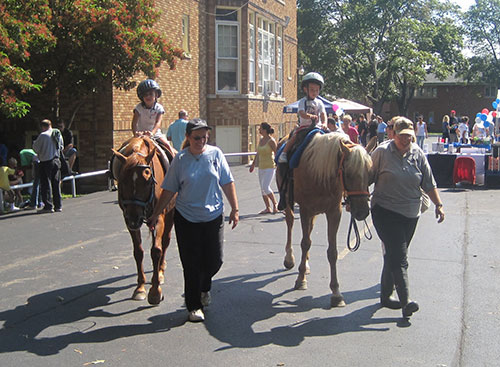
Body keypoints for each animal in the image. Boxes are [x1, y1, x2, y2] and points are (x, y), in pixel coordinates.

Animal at [112, 137, 176, 306]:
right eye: (122, 180)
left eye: (148, 181)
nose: (135, 217)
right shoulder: (128, 220)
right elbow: (138, 252)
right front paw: (140, 288)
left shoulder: (159, 217)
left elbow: (156, 250)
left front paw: (155, 291)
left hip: (170, 215)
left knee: (165, 242)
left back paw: (160, 271)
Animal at [276, 132, 374, 308]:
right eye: (348, 173)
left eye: (370, 174)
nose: (362, 211)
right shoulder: (305, 209)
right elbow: (305, 243)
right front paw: (300, 280)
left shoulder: (334, 212)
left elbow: (332, 252)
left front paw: (336, 293)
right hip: (288, 202)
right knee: (290, 223)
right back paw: (289, 259)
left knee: (309, 230)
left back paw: (306, 264)